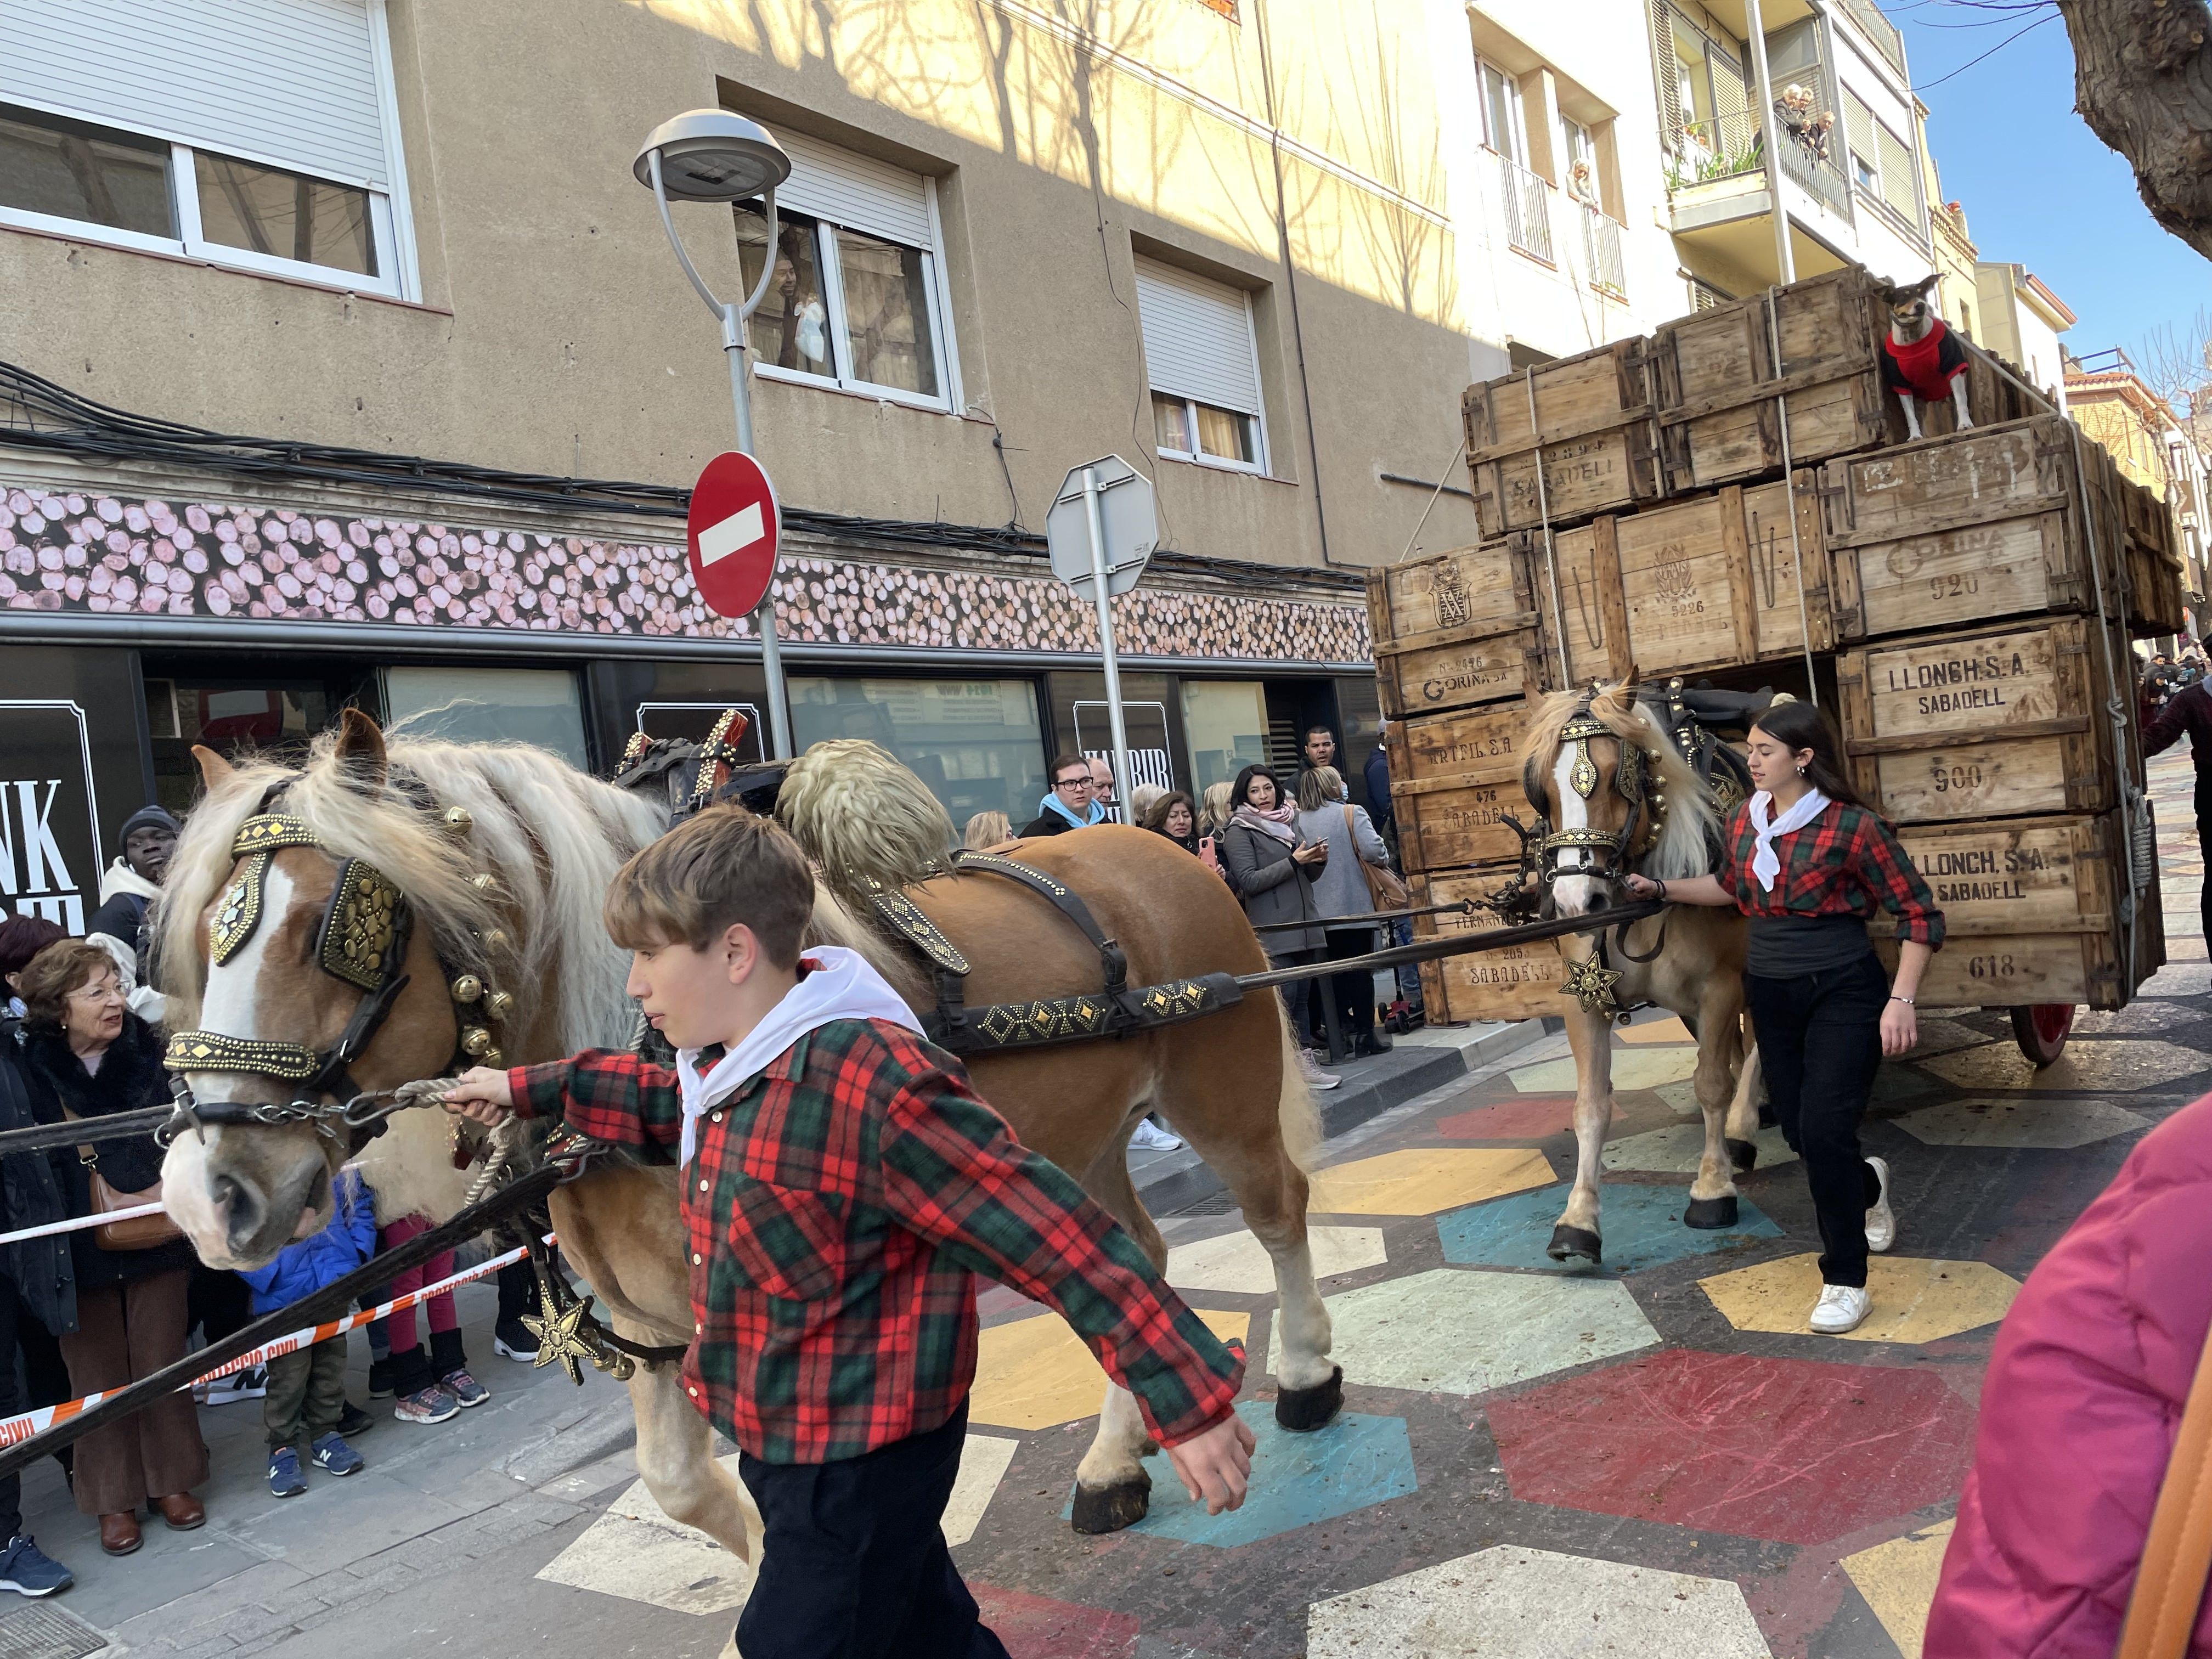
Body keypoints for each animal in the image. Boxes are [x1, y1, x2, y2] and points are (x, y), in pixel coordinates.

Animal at [160, 708, 1327, 1566]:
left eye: (329, 928)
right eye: (200, 938)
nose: (203, 1197)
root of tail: (1154, 843)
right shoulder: (655, 1320)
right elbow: (682, 1485)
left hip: (1220, 1091)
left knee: (1274, 1212)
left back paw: (1309, 1373)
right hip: (1074, 1137)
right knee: (1126, 1254)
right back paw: (1113, 1463)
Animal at [1504, 681, 1760, 1265]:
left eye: (1616, 775)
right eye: (1541, 790)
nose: (1577, 901)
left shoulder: (1722, 985)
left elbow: (1712, 1083)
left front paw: (1713, 1186)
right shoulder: (1582, 994)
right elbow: (1591, 1105)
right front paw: (1578, 1220)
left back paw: (1745, 1124)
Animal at [1884, 274, 1973, 442]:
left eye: (1922, 293)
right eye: (1903, 297)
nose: (1921, 305)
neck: (1914, 339)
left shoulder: (1954, 368)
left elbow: (1961, 402)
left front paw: (1965, 425)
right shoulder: (1901, 385)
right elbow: (1910, 416)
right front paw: (1915, 436)